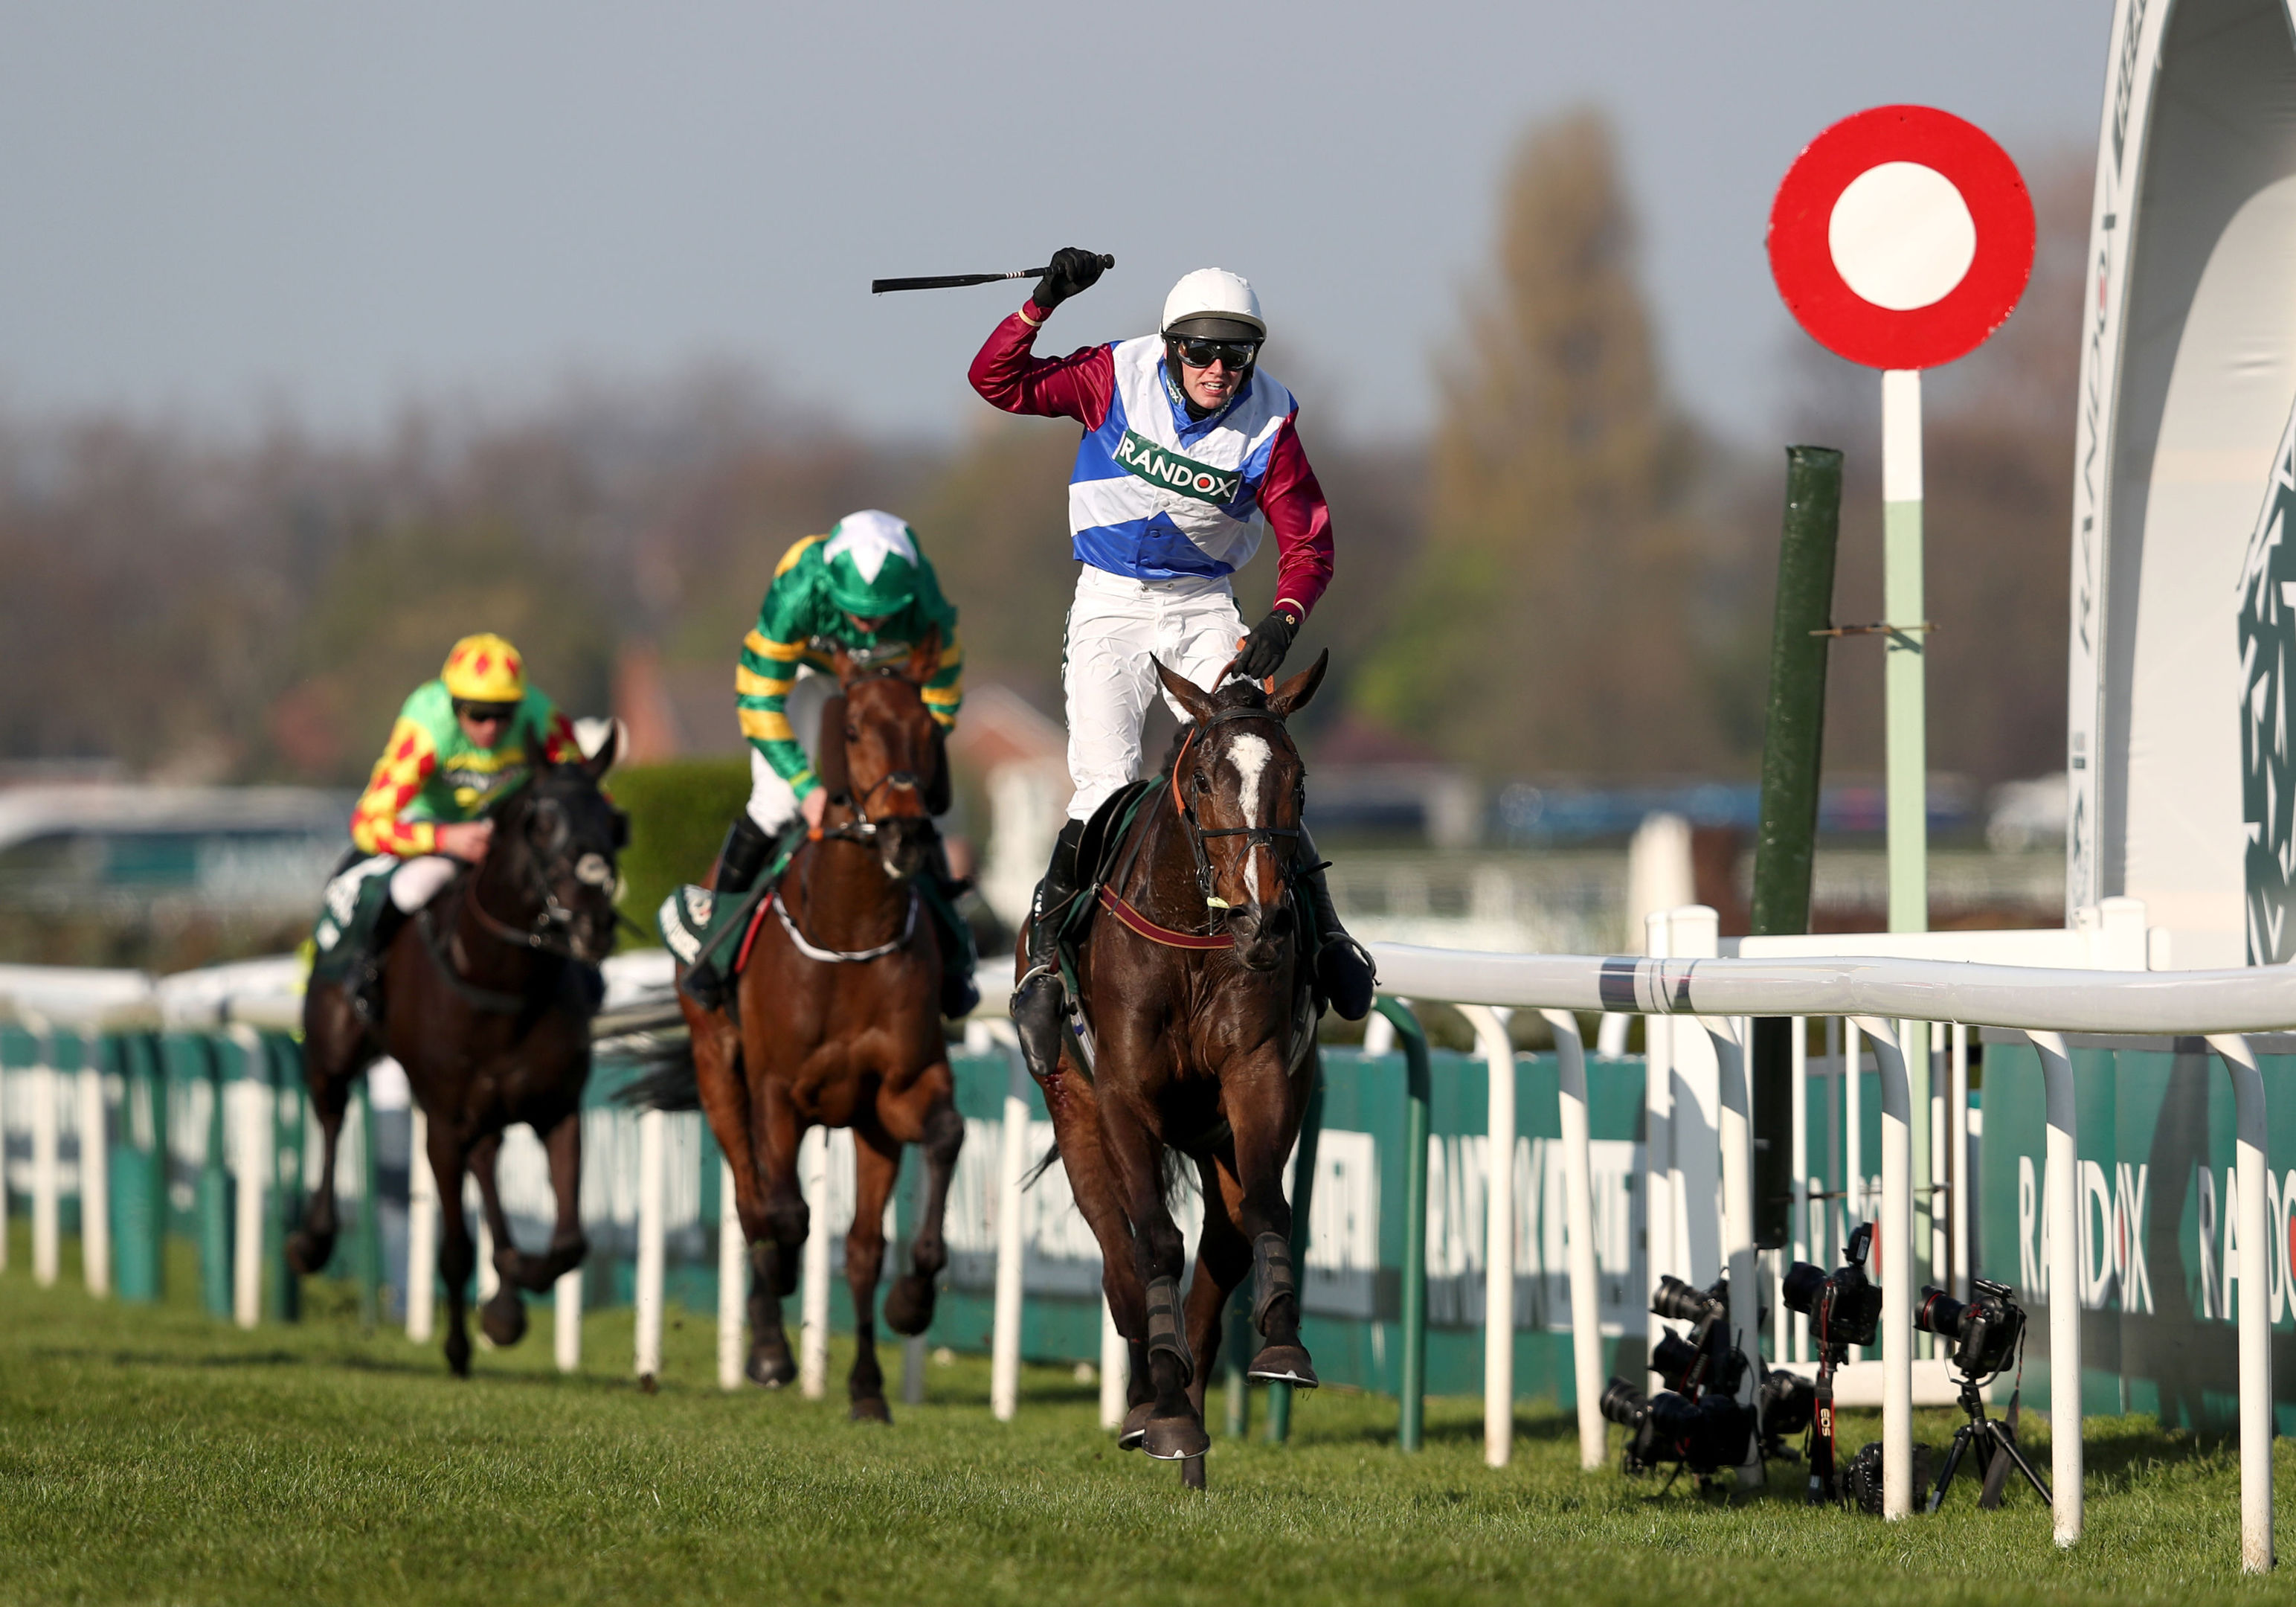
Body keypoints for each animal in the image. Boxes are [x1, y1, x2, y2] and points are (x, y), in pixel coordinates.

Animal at [294, 734, 628, 1377]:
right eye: (540, 822)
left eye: (614, 822)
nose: (594, 922)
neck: (500, 986)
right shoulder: (442, 1123)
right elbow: (454, 1248)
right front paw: (458, 1345)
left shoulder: (557, 1108)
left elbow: (569, 1243)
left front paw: (511, 1288)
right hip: (334, 1047)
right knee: (330, 1115)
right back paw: (310, 1240)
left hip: (489, 1112)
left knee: (487, 1162)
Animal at [656, 638, 959, 1414]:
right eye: (850, 730)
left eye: (929, 730)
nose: (905, 833)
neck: (849, 936)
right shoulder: (776, 1090)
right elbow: (782, 1211)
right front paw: (774, 1319)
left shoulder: (900, 1087)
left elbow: (943, 1139)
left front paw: (913, 1302)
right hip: (717, 1072)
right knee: (749, 1199)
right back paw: (770, 1341)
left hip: (869, 1126)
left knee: (859, 1247)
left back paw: (866, 1386)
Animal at [1023, 652, 1331, 1478]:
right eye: (1202, 779)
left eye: (1296, 779)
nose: (1262, 919)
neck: (1192, 936)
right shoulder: (1124, 1097)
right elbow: (1154, 1243)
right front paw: (1160, 1411)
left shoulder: (1258, 1073)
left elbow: (1267, 1211)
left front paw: (1281, 1346)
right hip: (1075, 1117)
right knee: (1118, 1261)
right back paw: (1149, 1402)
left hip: (1219, 1134)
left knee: (1223, 1244)